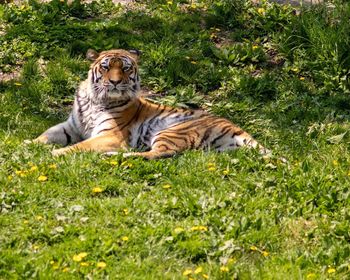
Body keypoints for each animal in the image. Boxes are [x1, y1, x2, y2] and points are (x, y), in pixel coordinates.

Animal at [30, 48, 270, 160]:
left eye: (125, 68)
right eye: (106, 67)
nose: (115, 82)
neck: (96, 99)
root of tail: (236, 127)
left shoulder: (110, 135)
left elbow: (80, 145)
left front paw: (56, 153)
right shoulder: (70, 127)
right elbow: (45, 135)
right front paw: (27, 144)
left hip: (172, 131)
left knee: (159, 154)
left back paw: (113, 156)